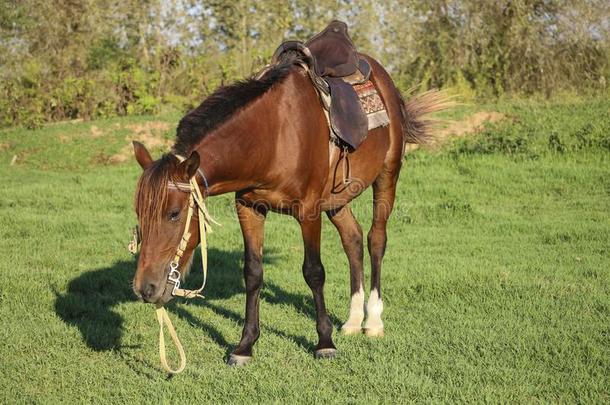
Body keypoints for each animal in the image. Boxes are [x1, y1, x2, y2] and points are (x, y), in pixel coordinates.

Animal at [131, 50, 444, 362]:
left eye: (174, 214)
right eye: (139, 214)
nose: (145, 288)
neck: (272, 137)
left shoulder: (309, 211)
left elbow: (314, 272)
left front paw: (324, 342)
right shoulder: (249, 207)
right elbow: (253, 272)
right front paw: (245, 345)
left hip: (387, 177)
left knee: (375, 240)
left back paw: (373, 321)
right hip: (337, 199)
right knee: (352, 239)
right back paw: (353, 320)